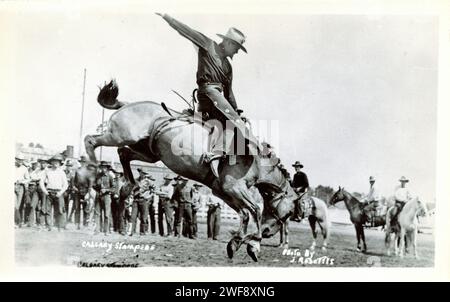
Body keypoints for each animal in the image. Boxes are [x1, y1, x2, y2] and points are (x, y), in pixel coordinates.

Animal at [84, 80, 298, 262]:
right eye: (289, 213)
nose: (269, 233)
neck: (256, 160)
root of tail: (127, 104)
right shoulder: (233, 187)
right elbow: (256, 210)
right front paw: (253, 244)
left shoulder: (222, 191)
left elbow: (246, 212)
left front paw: (238, 243)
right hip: (120, 135)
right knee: (91, 140)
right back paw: (94, 171)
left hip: (148, 151)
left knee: (123, 153)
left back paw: (131, 186)